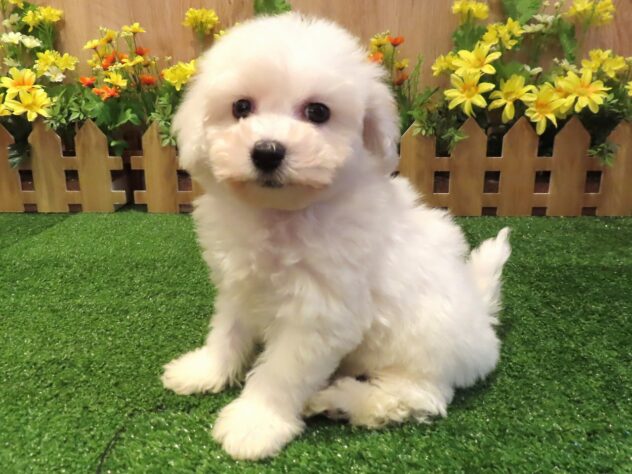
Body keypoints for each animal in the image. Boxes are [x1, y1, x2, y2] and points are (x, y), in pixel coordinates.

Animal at [162, 13, 511, 461]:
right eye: (241, 107)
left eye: (318, 112)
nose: (267, 151)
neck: (282, 214)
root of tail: (483, 322)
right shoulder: (240, 286)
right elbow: (227, 332)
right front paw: (205, 370)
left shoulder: (319, 315)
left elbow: (281, 373)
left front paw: (255, 422)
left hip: (421, 348)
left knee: (416, 397)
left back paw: (339, 400)